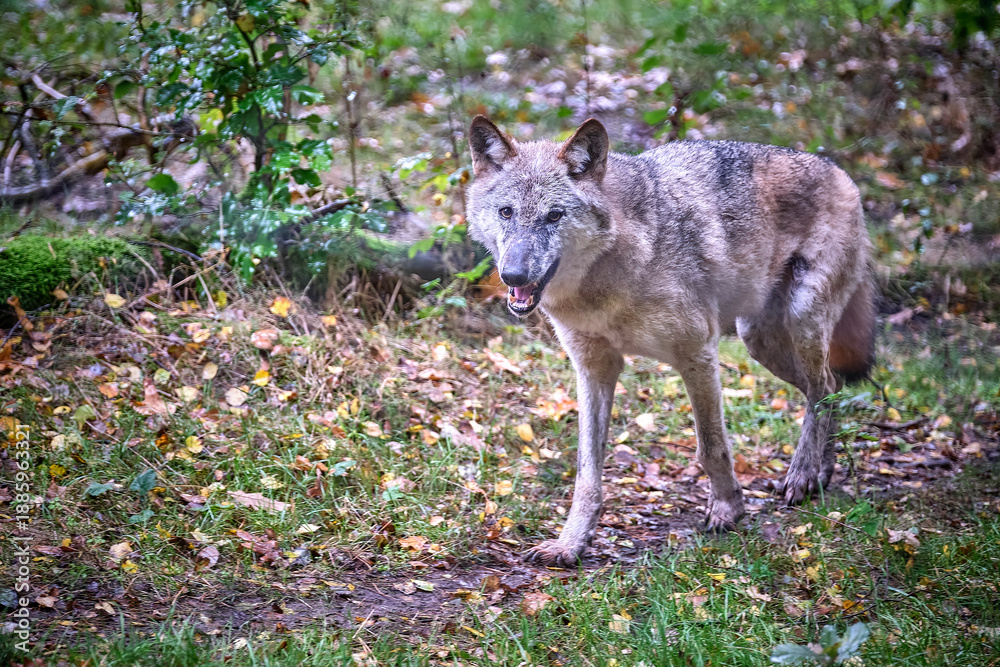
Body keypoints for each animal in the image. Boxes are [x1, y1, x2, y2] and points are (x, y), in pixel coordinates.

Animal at [465, 116, 876, 567]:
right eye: (506, 212)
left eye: (554, 215)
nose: (514, 275)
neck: (607, 279)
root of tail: (840, 173)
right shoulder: (593, 368)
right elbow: (587, 469)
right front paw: (570, 542)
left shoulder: (698, 354)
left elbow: (711, 448)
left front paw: (728, 510)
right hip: (759, 340)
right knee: (832, 386)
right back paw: (821, 473)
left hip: (798, 323)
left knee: (823, 388)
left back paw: (802, 475)